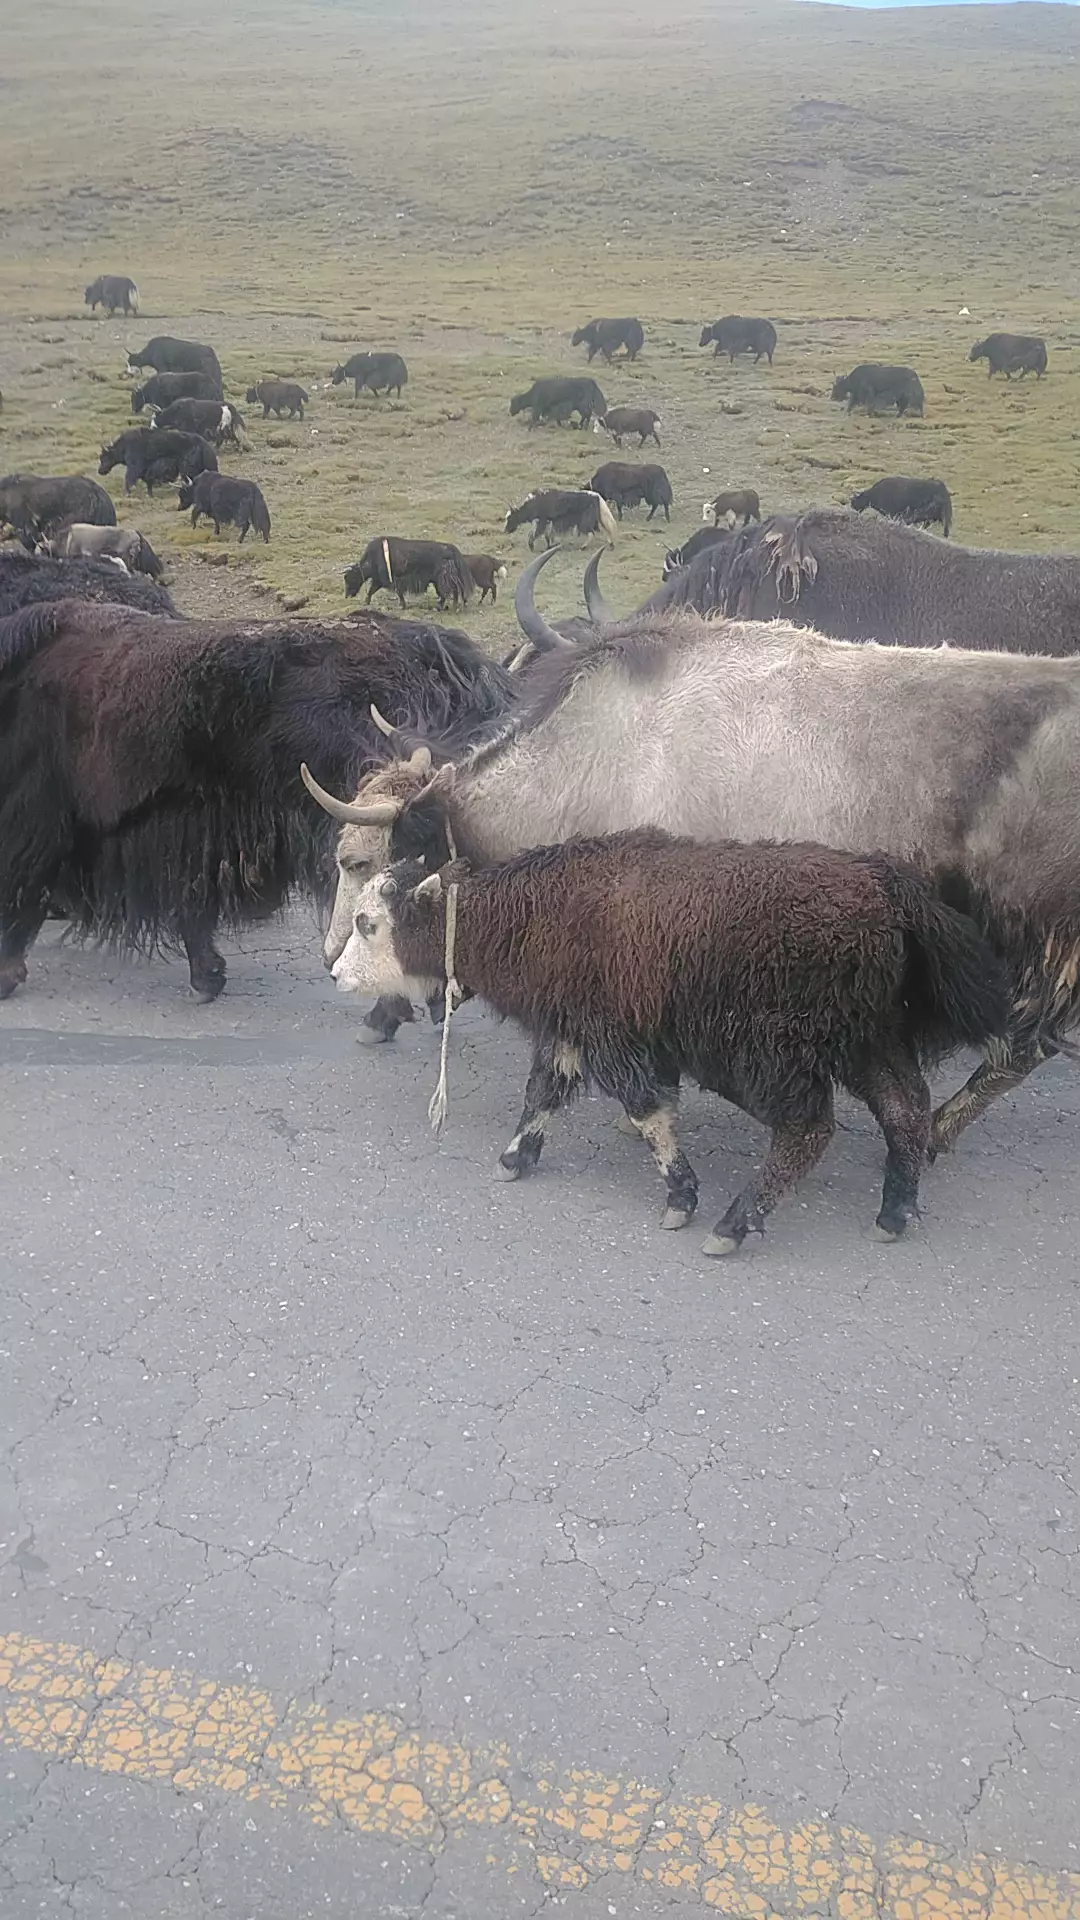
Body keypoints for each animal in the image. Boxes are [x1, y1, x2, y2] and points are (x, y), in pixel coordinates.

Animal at [329, 829, 1009, 1257]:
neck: (536, 914)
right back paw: (894, 1212)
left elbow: (646, 1111)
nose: (336, 973)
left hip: (777, 1054)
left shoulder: (612, 1036)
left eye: (369, 922)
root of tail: (885, 887)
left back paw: (735, 1224)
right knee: (905, 1110)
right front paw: (514, 1158)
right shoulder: (570, 1029)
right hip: (869, 1039)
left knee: (809, 1130)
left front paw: (682, 1195)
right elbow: (541, 1095)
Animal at [344, 537, 473, 610]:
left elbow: (397, 592)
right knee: (448, 592)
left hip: (443, 578)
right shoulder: (379, 580)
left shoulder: (390, 580)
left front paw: (402, 605)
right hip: (440, 580)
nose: (347, 596)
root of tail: (451, 548)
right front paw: (366, 602)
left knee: (450, 591)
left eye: (350, 578)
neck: (372, 559)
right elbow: (372, 590)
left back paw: (447, 607)